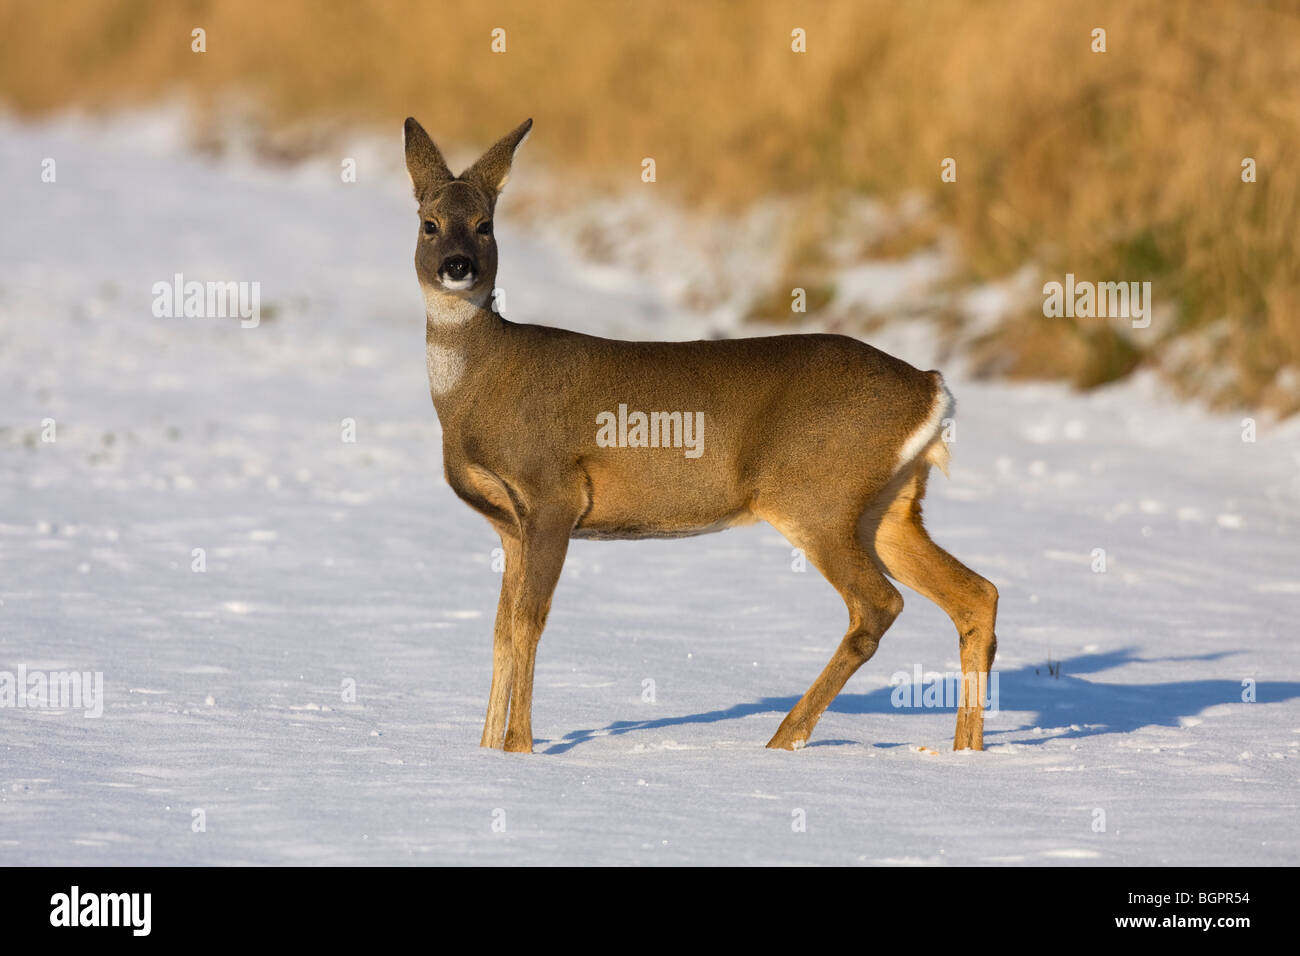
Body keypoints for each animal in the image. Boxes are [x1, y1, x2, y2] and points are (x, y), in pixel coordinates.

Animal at [400, 115, 998, 754]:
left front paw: (518, 748)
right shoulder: (509, 524)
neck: (479, 385)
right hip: (884, 506)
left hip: (812, 494)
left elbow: (528, 621)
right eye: (429, 223)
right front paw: (486, 750)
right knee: (976, 594)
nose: (457, 265)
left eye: (484, 224)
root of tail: (930, 387)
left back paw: (784, 739)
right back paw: (965, 753)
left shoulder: (551, 493)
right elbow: (500, 630)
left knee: (879, 605)